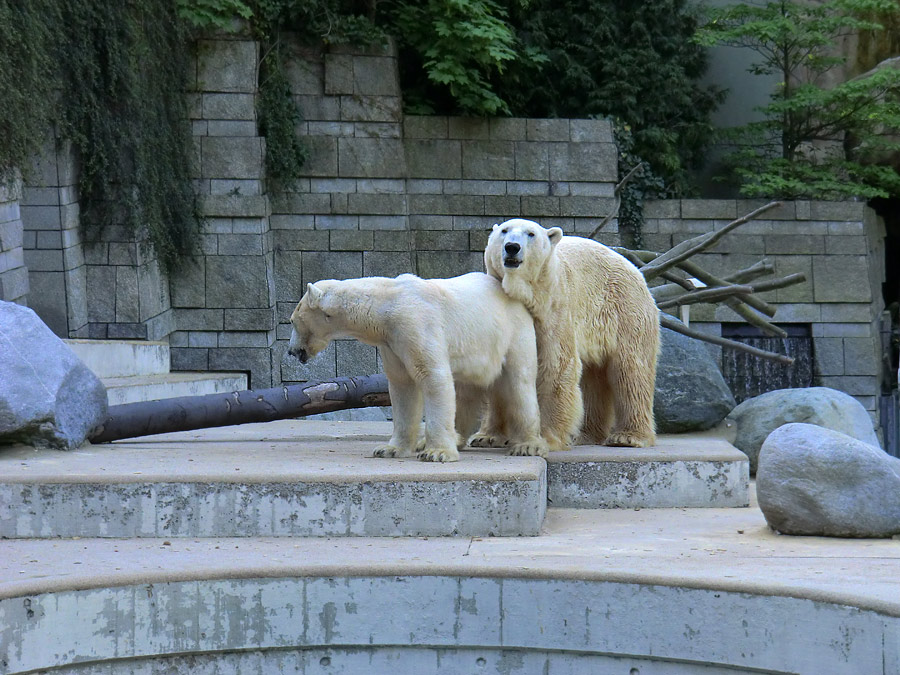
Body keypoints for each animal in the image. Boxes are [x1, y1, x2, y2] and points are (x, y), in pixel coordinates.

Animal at [286, 272, 548, 462]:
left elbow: (433, 378)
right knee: (465, 390)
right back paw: (455, 438)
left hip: (513, 334)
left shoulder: (415, 324)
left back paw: (528, 445)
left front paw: (437, 453)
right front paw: (389, 449)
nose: (291, 351)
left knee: (519, 383)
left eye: (292, 320)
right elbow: (403, 387)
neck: (386, 305)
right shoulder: (392, 343)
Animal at [482, 219, 656, 452]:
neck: (528, 294)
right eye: (504, 231)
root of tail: (636, 269)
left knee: (630, 371)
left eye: (531, 234)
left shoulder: (554, 308)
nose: (512, 247)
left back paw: (628, 437)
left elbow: (557, 363)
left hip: (626, 311)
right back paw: (587, 435)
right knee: (594, 378)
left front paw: (544, 440)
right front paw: (487, 437)